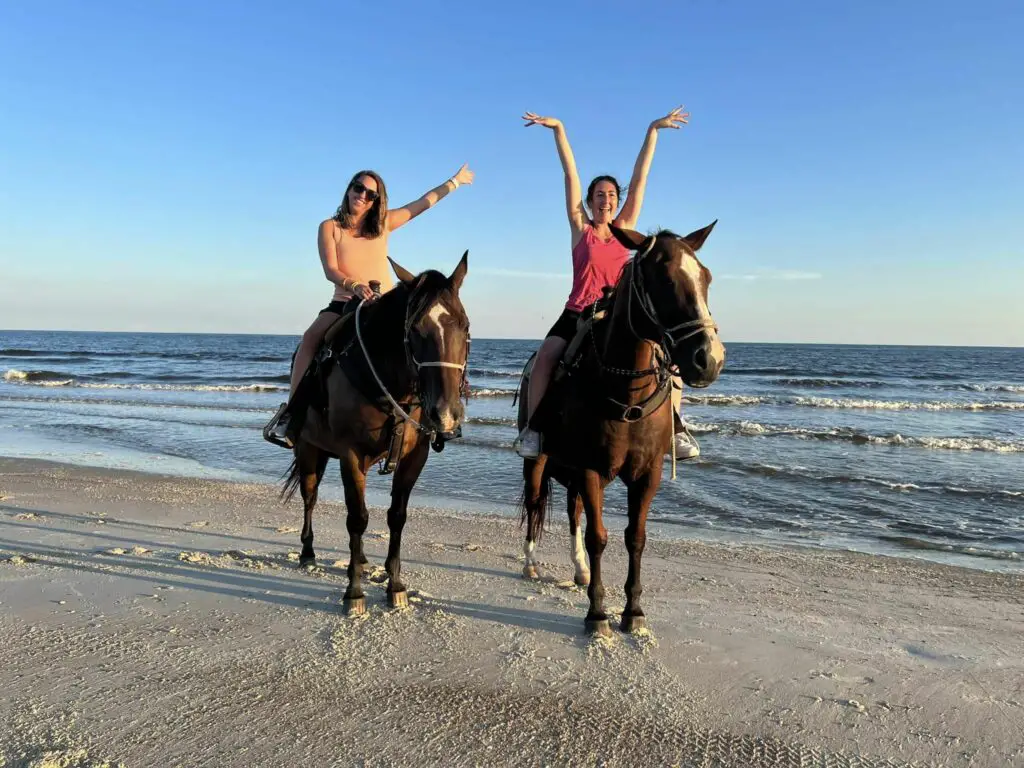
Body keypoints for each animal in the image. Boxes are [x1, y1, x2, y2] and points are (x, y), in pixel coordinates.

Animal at [280, 256, 471, 618]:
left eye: (465, 327)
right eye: (414, 330)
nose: (446, 414)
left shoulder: (415, 457)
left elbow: (396, 516)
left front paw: (394, 585)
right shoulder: (351, 456)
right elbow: (357, 518)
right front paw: (353, 592)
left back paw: (363, 559)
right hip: (309, 451)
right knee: (310, 498)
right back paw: (308, 553)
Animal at [516, 224, 724, 638]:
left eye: (706, 278)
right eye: (663, 279)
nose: (709, 359)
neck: (626, 393)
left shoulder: (647, 474)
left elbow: (635, 538)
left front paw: (633, 610)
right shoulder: (590, 469)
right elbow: (599, 537)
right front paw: (597, 614)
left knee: (573, 512)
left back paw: (579, 569)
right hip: (538, 463)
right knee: (534, 504)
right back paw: (531, 562)